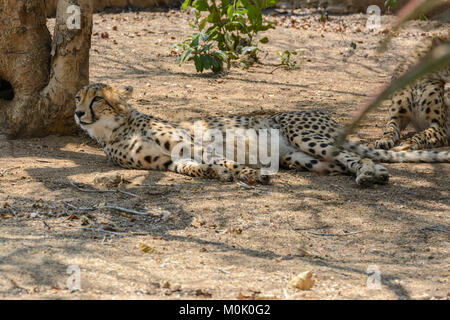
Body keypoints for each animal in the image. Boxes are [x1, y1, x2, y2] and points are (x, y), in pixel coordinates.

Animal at [74, 83, 450, 185]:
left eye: (96, 98)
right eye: (77, 98)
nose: (77, 113)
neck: (113, 130)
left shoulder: (187, 141)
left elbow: (216, 158)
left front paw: (244, 173)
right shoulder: (166, 161)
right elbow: (192, 168)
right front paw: (215, 174)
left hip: (304, 133)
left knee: (352, 155)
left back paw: (372, 173)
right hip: (299, 157)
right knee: (339, 163)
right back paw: (368, 174)